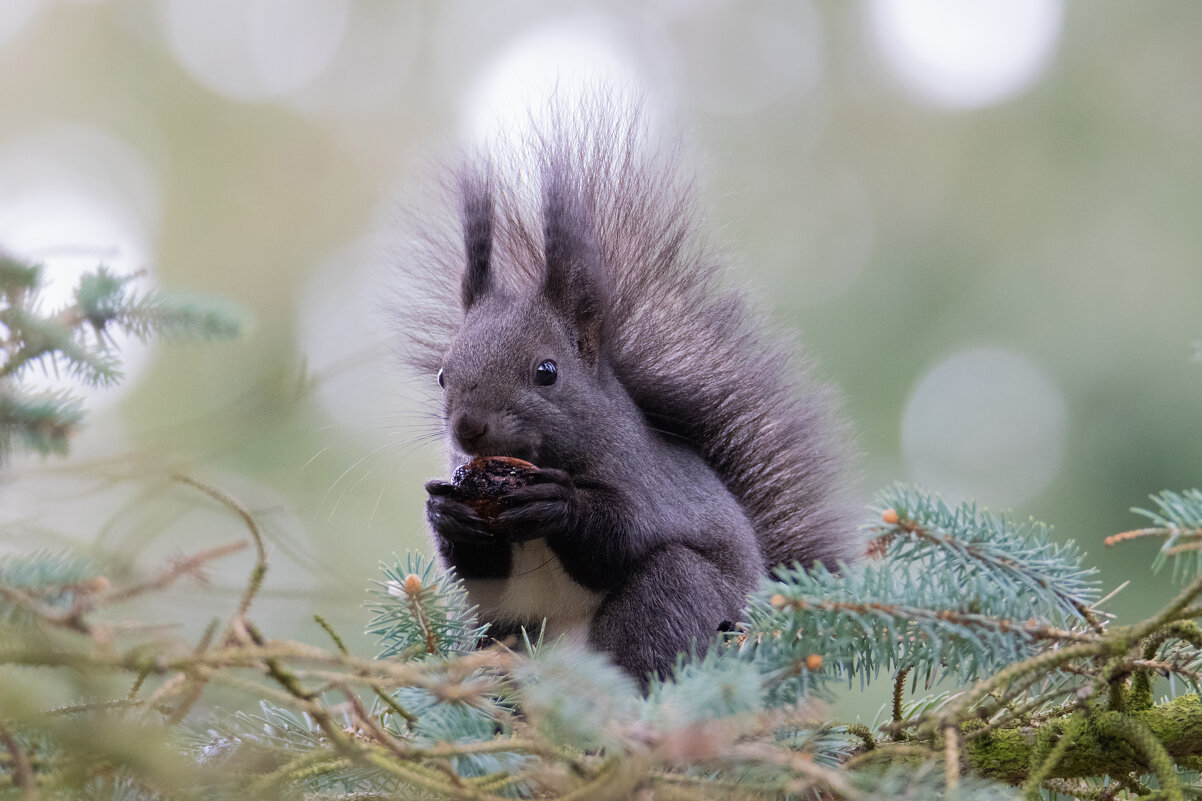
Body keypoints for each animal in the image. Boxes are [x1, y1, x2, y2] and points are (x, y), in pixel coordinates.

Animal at [399, 98, 860, 687]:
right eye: (442, 375)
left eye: (547, 371)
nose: (468, 428)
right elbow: (481, 577)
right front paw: (446, 514)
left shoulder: (645, 482)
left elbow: (623, 537)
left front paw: (562, 503)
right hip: (503, 640)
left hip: (678, 596)